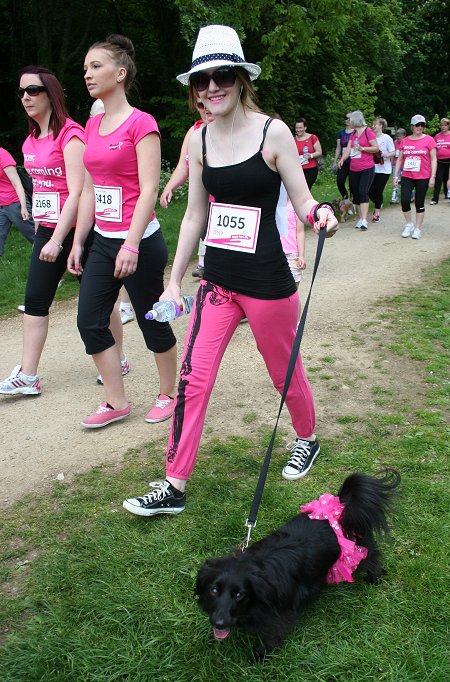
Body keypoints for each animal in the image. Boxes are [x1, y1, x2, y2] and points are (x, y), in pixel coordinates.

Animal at [195, 470, 400, 656]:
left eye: (239, 595)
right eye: (213, 590)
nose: (218, 623)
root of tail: (342, 504)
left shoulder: (279, 615)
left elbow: (270, 636)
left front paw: (259, 656)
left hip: (359, 549)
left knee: (372, 555)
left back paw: (374, 577)